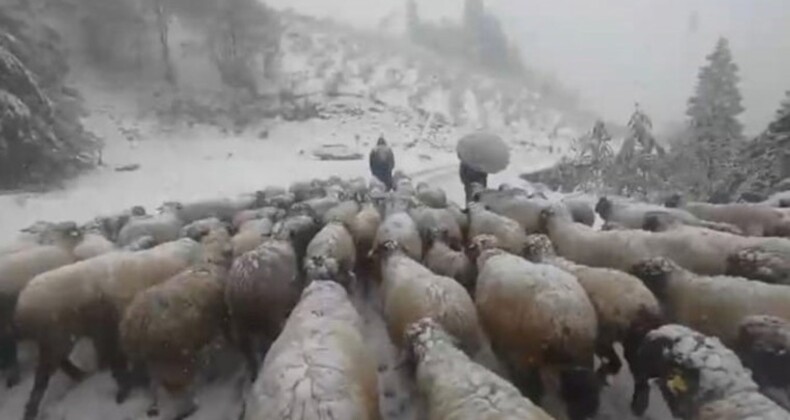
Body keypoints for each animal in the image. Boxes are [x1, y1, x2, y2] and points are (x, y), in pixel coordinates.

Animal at [524, 233, 668, 410]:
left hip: (627, 339)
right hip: (634, 340)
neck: (548, 258)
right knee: (633, 369)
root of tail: (650, 306)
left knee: (632, 369)